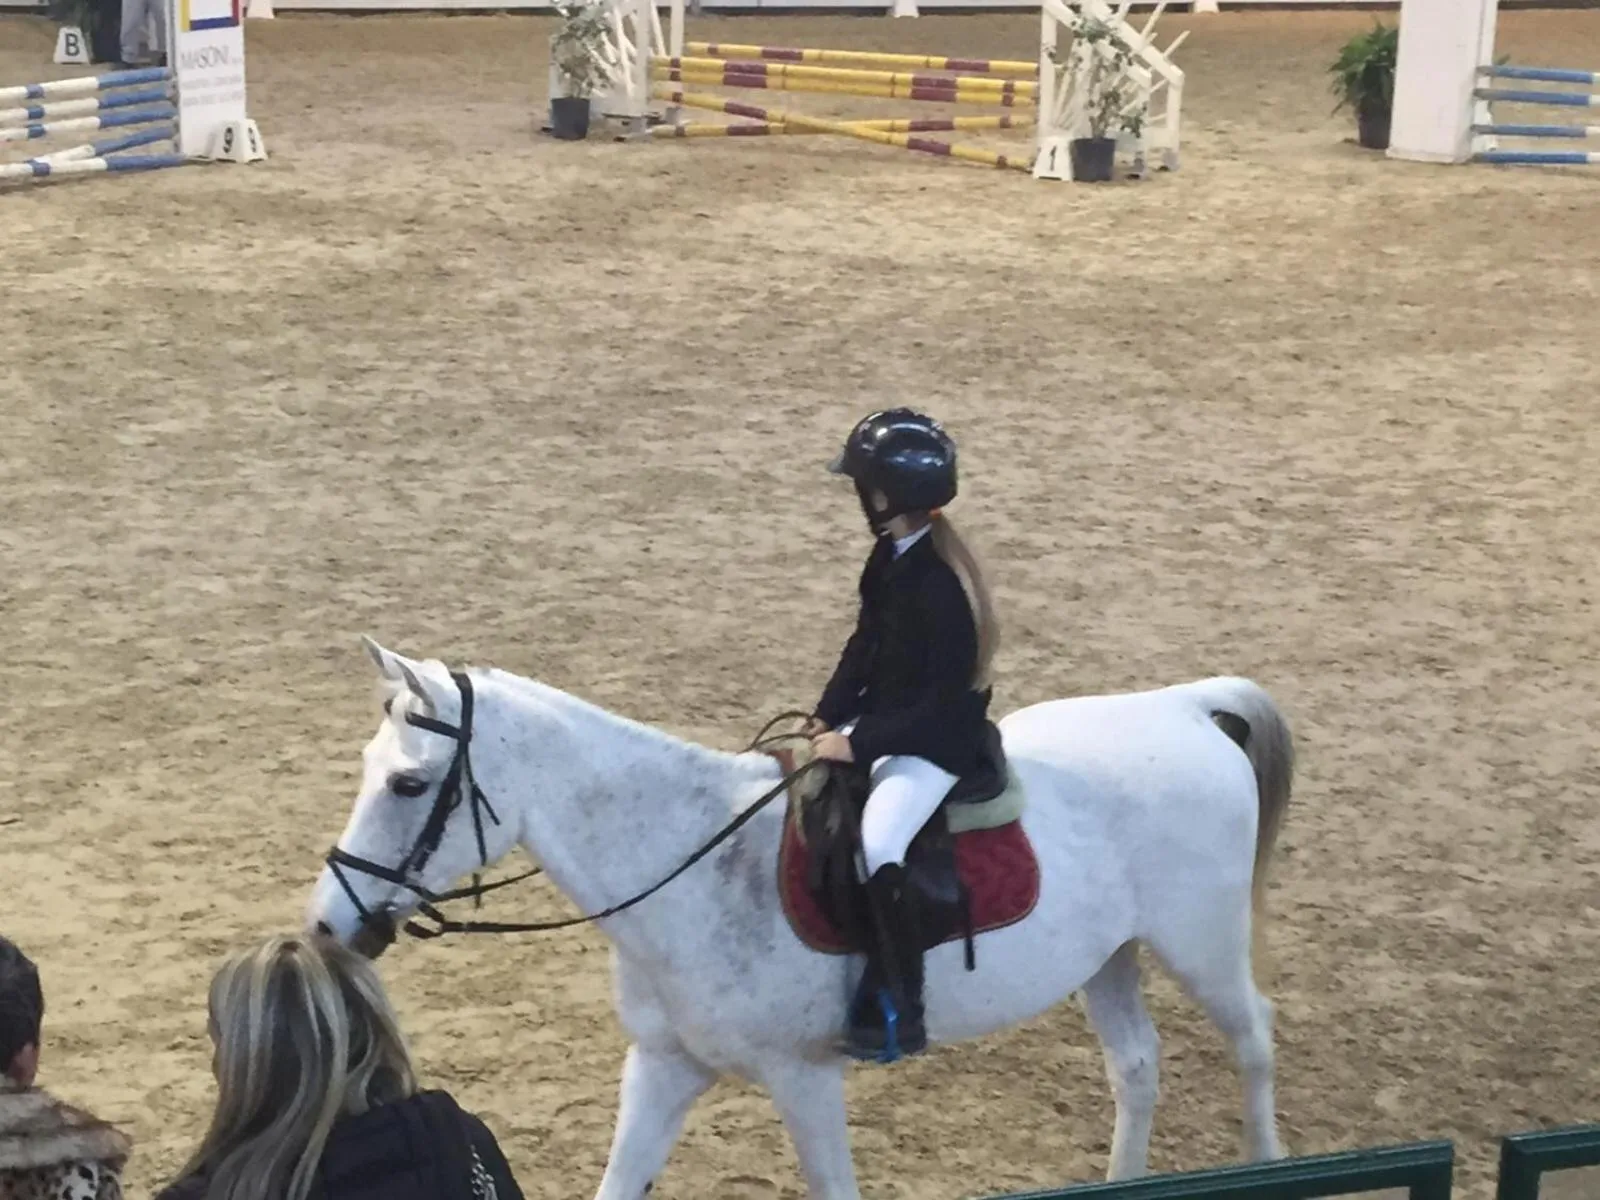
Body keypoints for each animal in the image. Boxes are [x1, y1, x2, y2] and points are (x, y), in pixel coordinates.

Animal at [305, 637, 1294, 1199]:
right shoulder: (664, 1065)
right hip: (1109, 956)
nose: (327, 926)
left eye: (408, 784)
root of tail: (1180, 706)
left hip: (1199, 945)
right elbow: (620, 1182)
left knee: (1252, 1040)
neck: (693, 864)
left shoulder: (805, 1078)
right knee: (1136, 1067)